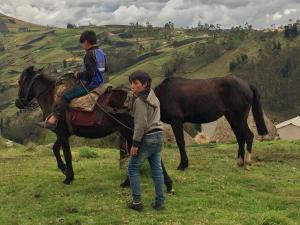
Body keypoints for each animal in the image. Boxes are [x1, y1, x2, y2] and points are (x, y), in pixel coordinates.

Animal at [14, 65, 173, 193]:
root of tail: (136, 97)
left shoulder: (61, 131)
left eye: (21, 82)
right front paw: (64, 169)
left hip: (131, 131)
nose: (18, 103)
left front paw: (68, 177)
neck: (52, 98)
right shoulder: (64, 133)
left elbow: (67, 154)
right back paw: (163, 183)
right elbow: (55, 149)